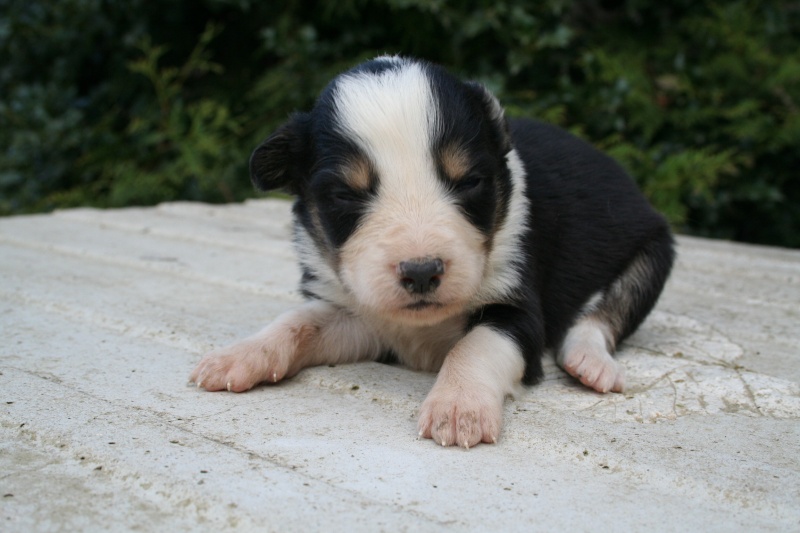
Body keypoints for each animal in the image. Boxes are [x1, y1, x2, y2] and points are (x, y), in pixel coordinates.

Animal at [192, 55, 676, 444]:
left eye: (469, 181)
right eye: (346, 195)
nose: (422, 272)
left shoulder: (518, 305)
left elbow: (477, 343)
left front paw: (458, 408)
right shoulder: (356, 314)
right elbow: (297, 322)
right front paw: (237, 356)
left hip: (654, 252)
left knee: (605, 314)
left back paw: (589, 362)